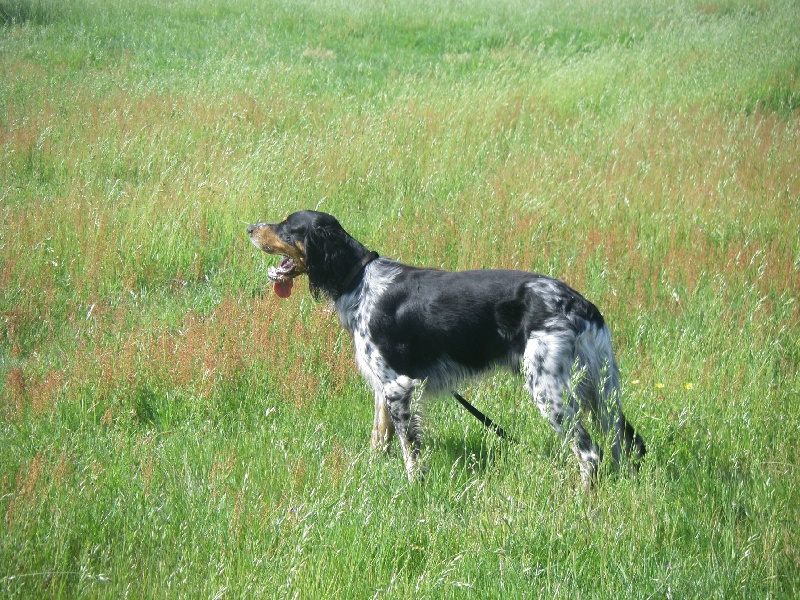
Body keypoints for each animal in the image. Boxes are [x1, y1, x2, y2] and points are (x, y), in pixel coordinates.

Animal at [247, 211, 648, 488]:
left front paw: (415, 489)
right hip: (598, 389)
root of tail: (579, 303)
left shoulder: (398, 386)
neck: (359, 281)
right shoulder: (383, 388)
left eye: (286, 226)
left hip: (550, 390)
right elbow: (379, 439)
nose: (250, 228)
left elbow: (410, 452)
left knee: (590, 453)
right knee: (623, 442)